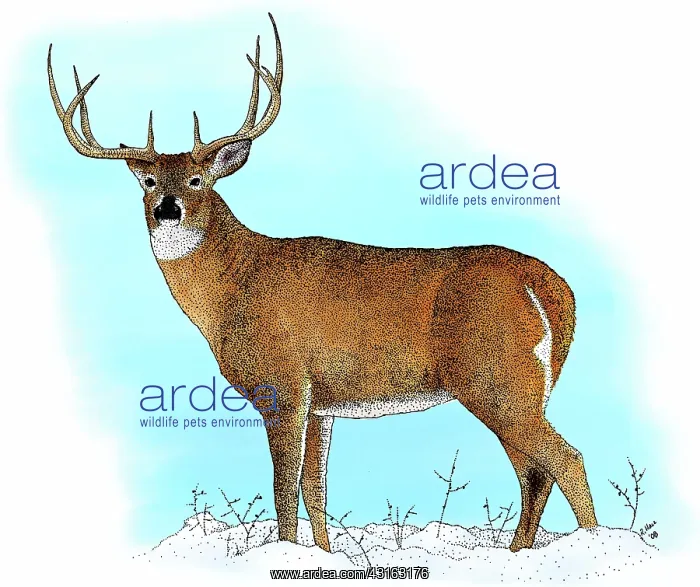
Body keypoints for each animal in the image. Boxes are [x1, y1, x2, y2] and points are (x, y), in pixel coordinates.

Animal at [47, 13, 597, 553]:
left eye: (197, 180)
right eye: (149, 181)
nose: (168, 208)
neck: (233, 286)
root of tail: (551, 286)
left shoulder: (284, 384)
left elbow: (283, 485)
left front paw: (287, 552)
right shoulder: (322, 404)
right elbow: (316, 487)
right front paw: (325, 554)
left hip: (495, 378)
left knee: (565, 459)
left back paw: (590, 545)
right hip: (518, 387)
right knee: (534, 472)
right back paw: (520, 551)